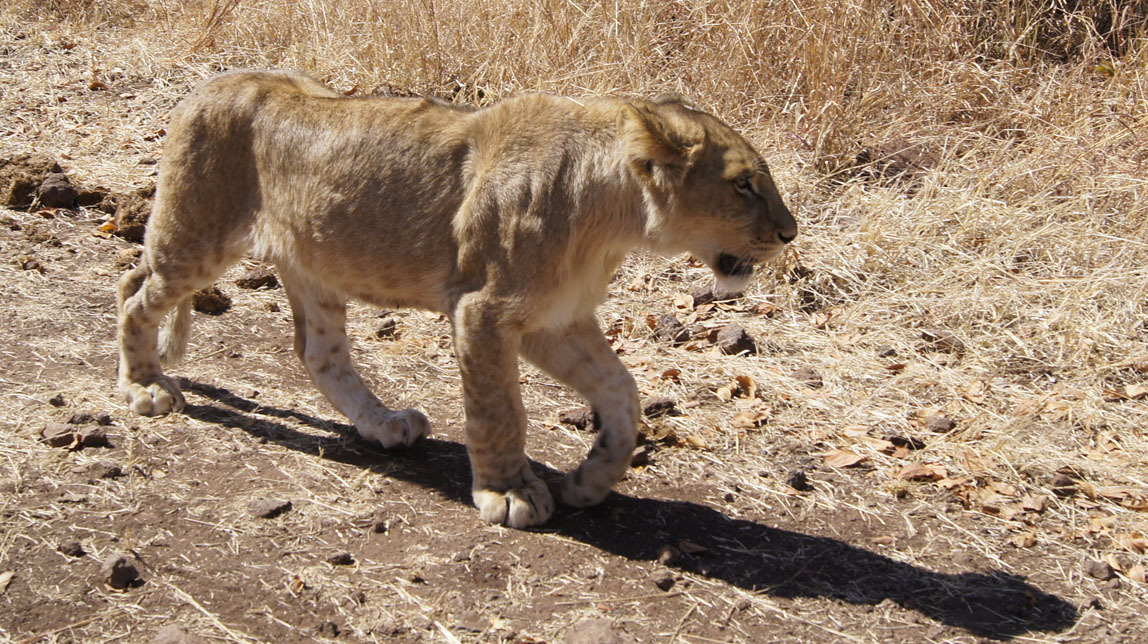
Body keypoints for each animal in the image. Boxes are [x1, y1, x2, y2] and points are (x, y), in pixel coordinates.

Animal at [118, 71, 799, 528]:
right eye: (743, 185)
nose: (790, 233)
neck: (614, 218)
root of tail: (208, 83)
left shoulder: (555, 319)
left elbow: (623, 394)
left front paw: (590, 480)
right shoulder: (485, 309)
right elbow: (500, 411)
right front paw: (510, 492)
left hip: (313, 266)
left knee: (320, 354)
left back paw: (384, 423)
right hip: (194, 238)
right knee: (131, 293)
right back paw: (145, 386)